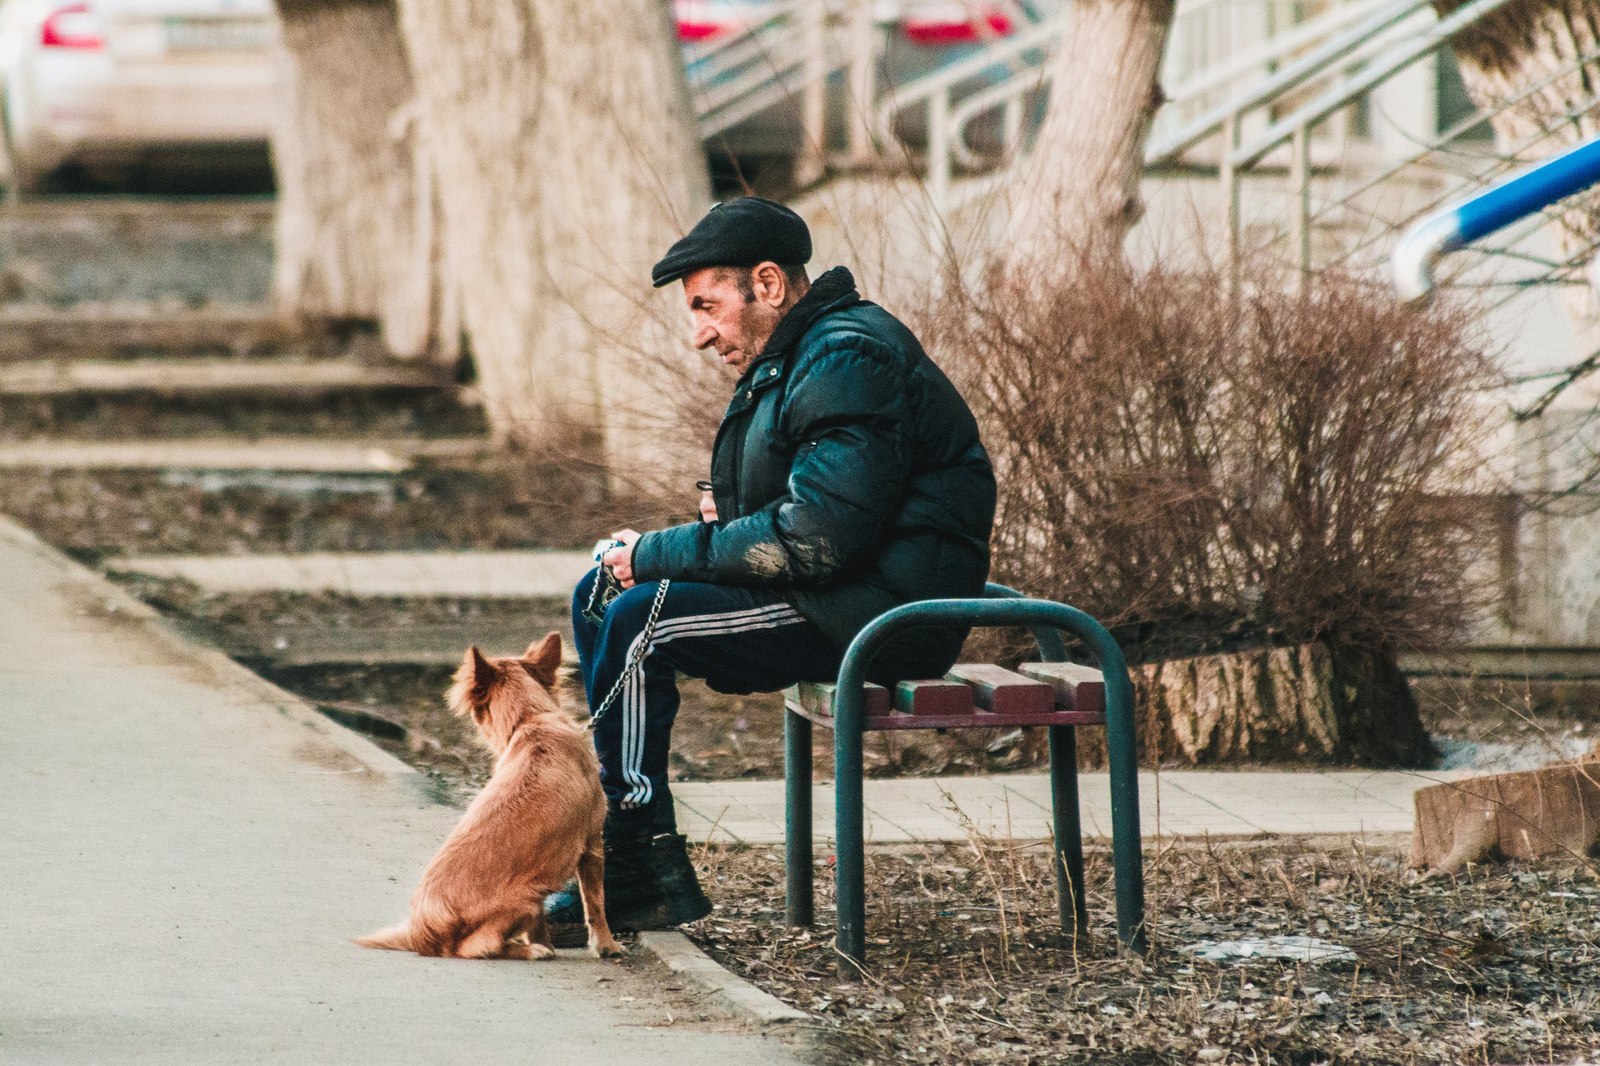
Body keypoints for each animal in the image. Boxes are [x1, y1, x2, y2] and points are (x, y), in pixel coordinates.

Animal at [358, 627, 624, 960]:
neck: (531, 721)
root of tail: (421, 934)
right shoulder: (592, 844)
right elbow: (596, 904)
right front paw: (606, 945)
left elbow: (541, 923)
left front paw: (547, 943)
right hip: (525, 897)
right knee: (477, 947)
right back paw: (529, 951)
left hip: (534, 890)